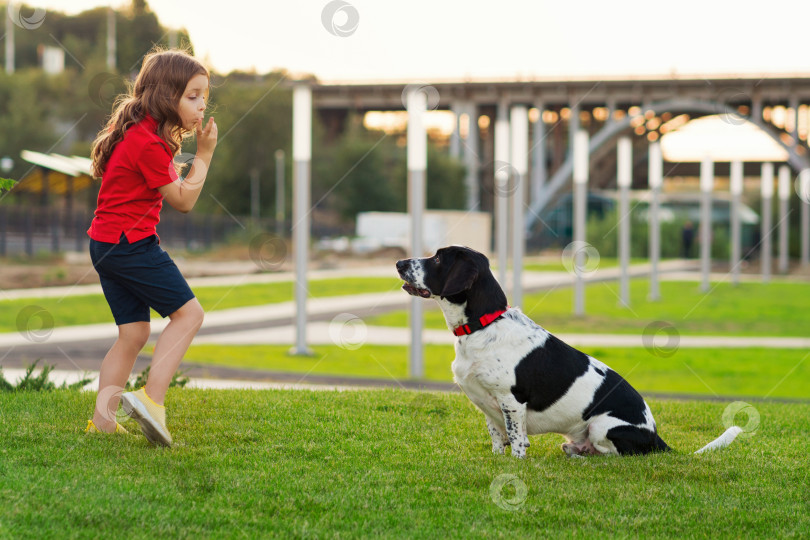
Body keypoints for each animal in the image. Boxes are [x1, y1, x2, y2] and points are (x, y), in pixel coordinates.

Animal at [394, 247, 740, 458]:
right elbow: (497, 439)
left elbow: (517, 441)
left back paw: (585, 457)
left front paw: (515, 465)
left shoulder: (510, 402)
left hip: (603, 426)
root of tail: (656, 437)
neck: (484, 325)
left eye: (439, 259)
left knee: (615, 455)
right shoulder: (489, 408)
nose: (398, 263)